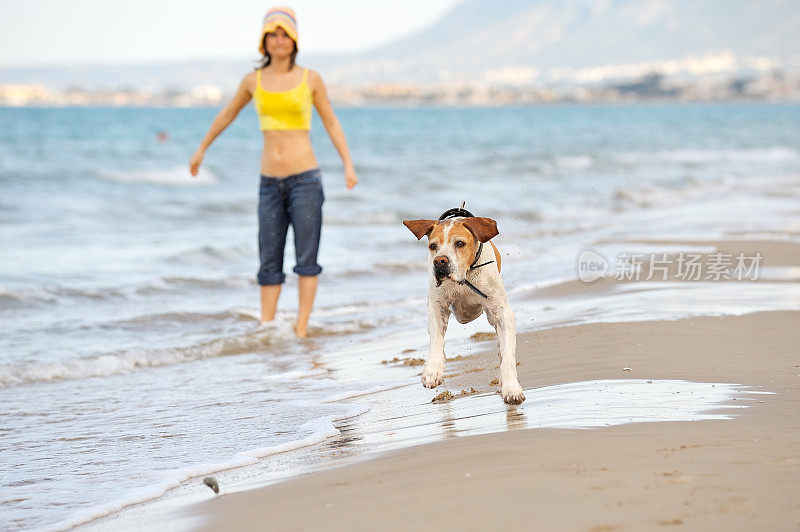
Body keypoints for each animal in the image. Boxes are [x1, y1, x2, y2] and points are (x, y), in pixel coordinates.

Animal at [404, 210, 528, 406]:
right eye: (433, 246)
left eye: (460, 243)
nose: (440, 261)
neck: (464, 279)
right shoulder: (437, 306)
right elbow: (436, 340)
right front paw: (432, 370)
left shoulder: (502, 313)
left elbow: (507, 354)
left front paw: (511, 388)